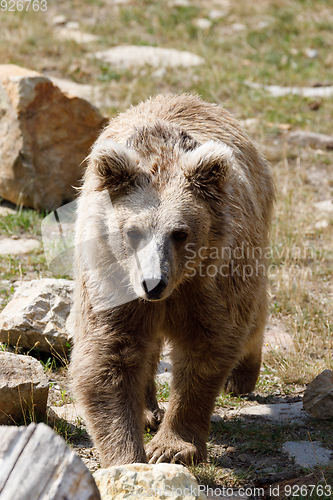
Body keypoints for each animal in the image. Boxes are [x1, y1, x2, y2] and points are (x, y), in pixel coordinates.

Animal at [69, 94, 272, 468]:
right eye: (133, 232)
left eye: (180, 233)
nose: (153, 283)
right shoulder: (111, 281)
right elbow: (108, 356)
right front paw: (129, 457)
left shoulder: (209, 285)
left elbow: (206, 349)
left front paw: (173, 448)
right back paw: (148, 410)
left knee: (253, 313)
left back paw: (242, 376)